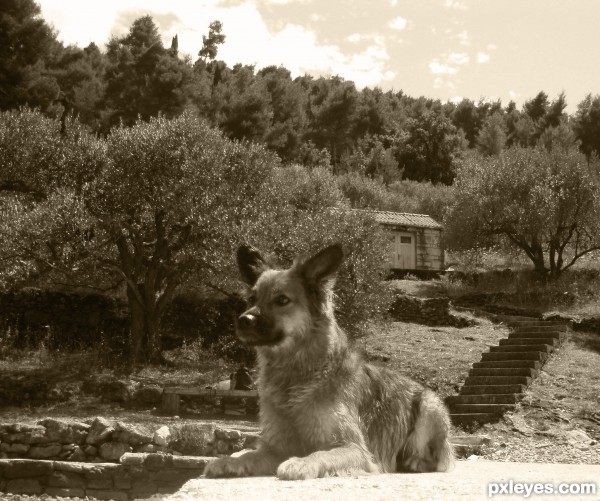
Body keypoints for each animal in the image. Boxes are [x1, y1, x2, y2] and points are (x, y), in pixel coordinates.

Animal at [204, 244, 452, 478]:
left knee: (438, 461)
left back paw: (415, 462)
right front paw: (227, 461)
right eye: (252, 299)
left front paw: (302, 462)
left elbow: (321, 453)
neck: (295, 373)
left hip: (430, 406)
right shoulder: (276, 448)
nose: (243, 320)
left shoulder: (355, 449)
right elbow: (249, 454)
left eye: (282, 299)